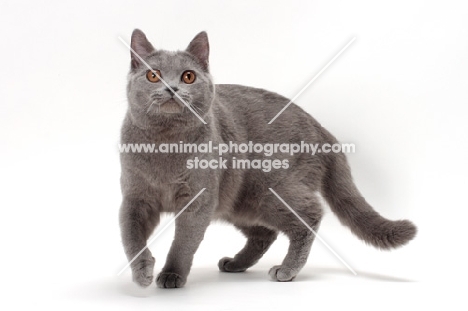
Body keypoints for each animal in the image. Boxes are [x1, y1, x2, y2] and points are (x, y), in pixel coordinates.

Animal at [119, 29, 416, 290]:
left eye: (188, 76)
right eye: (153, 75)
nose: (172, 88)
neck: (165, 143)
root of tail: (320, 127)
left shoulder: (198, 199)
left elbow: (183, 242)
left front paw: (171, 275)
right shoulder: (135, 198)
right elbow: (130, 237)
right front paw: (142, 273)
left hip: (272, 191)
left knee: (310, 215)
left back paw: (286, 270)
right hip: (239, 201)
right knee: (265, 233)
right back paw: (235, 264)